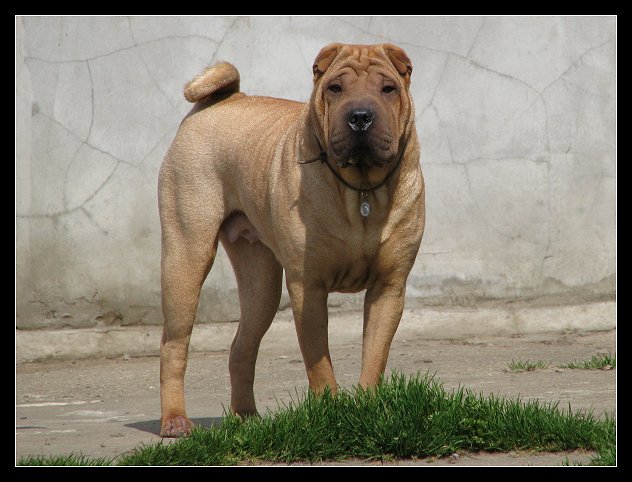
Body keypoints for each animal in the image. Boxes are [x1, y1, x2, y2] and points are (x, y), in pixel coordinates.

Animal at [157, 44, 424, 436]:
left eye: (387, 88)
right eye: (335, 88)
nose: (360, 117)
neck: (360, 190)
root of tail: (221, 101)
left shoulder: (388, 288)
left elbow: (375, 353)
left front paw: (368, 407)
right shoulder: (308, 287)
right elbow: (319, 359)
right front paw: (330, 412)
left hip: (260, 281)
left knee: (242, 344)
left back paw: (246, 417)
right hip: (186, 256)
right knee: (174, 344)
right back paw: (175, 420)